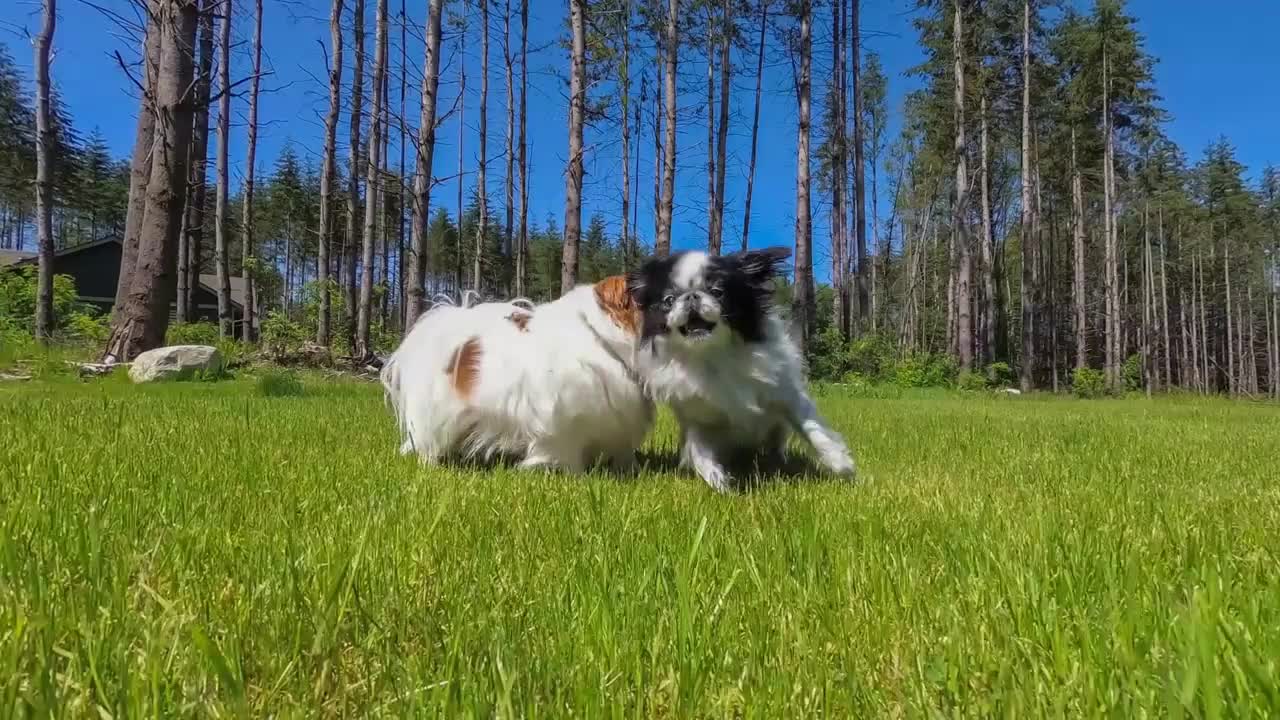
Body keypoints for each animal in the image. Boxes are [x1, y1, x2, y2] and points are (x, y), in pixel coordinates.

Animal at [378, 274, 650, 471]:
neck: (601, 338)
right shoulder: (564, 421)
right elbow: (568, 455)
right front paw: (575, 477)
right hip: (434, 415)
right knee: (427, 443)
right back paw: (432, 465)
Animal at [624, 243, 855, 489]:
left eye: (717, 292)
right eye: (669, 300)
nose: (691, 296)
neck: (712, 355)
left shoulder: (787, 395)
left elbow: (813, 429)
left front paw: (842, 465)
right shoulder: (697, 419)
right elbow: (699, 451)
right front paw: (717, 481)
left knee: (777, 444)